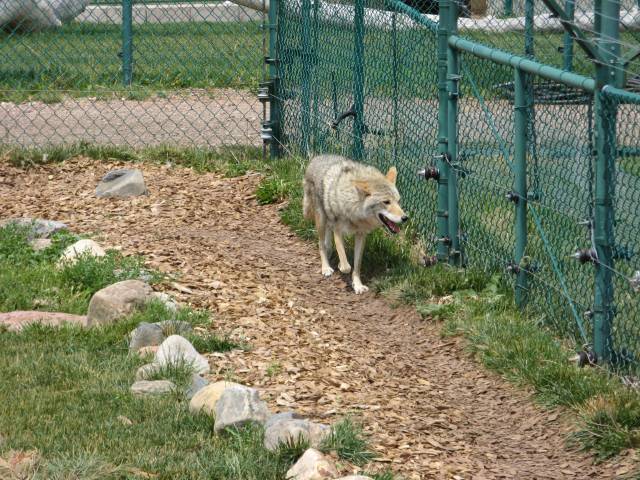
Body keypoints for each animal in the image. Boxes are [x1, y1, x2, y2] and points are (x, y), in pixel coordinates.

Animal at [302, 156, 408, 294]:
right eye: (386, 202)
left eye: (398, 201)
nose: (405, 218)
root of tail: (316, 158)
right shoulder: (338, 231)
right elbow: (346, 266)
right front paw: (341, 266)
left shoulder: (361, 235)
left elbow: (357, 265)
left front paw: (357, 285)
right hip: (320, 219)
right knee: (321, 244)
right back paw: (326, 268)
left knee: (327, 238)